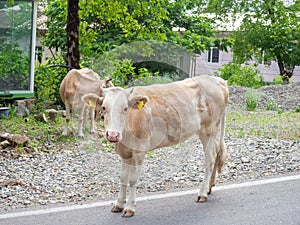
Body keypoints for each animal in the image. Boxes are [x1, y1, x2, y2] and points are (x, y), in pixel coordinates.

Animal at [81, 74, 229, 217]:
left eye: (125, 108)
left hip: (209, 130)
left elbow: (132, 180)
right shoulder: (125, 153)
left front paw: (129, 208)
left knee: (210, 159)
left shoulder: (140, 151)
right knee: (217, 152)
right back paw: (209, 187)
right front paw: (119, 204)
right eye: (104, 107)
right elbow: (123, 178)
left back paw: (202, 193)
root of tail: (216, 80)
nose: (112, 135)